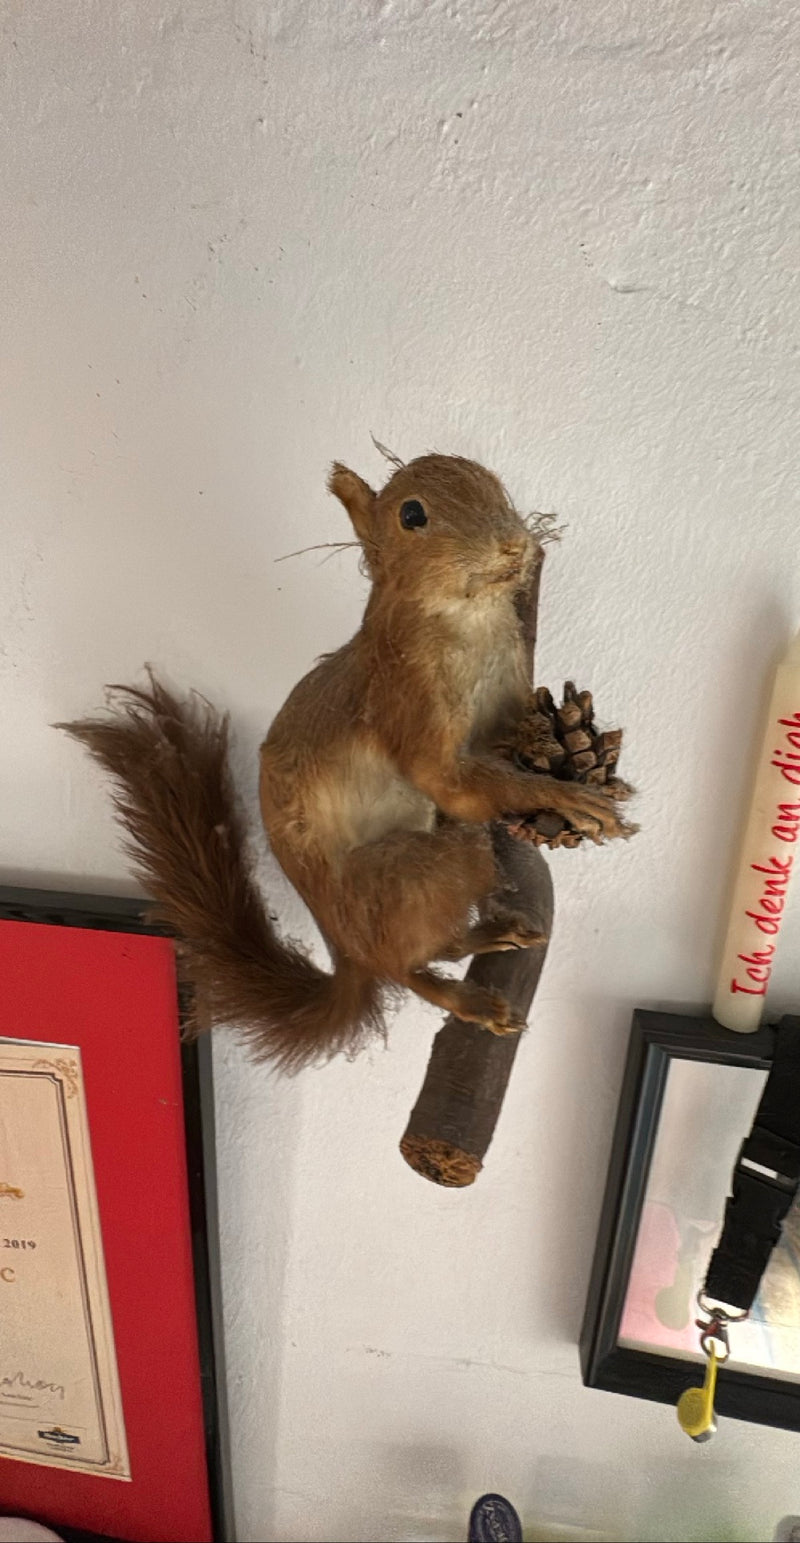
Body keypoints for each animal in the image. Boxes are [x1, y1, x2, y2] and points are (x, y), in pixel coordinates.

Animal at [60, 453, 632, 1072]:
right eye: (412, 514)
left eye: (496, 485)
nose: (513, 545)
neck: (472, 624)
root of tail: (347, 951)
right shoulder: (405, 700)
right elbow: (446, 781)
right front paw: (572, 798)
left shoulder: (506, 696)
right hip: (415, 875)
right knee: (401, 966)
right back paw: (468, 999)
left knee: (435, 943)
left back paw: (488, 935)